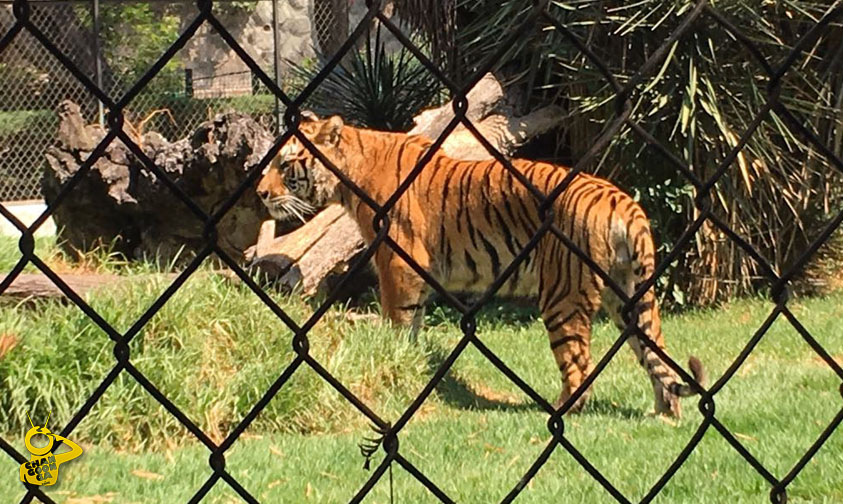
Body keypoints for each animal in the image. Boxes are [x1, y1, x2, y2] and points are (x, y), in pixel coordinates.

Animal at [258, 114, 704, 418]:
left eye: (285, 164)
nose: (260, 193)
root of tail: (624, 203)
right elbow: (415, 321)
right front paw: (411, 362)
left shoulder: (396, 262)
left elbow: (398, 318)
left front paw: (395, 357)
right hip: (628, 295)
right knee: (656, 354)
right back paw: (664, 415)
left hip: (564, 295)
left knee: (579, 368)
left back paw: (557, 411)